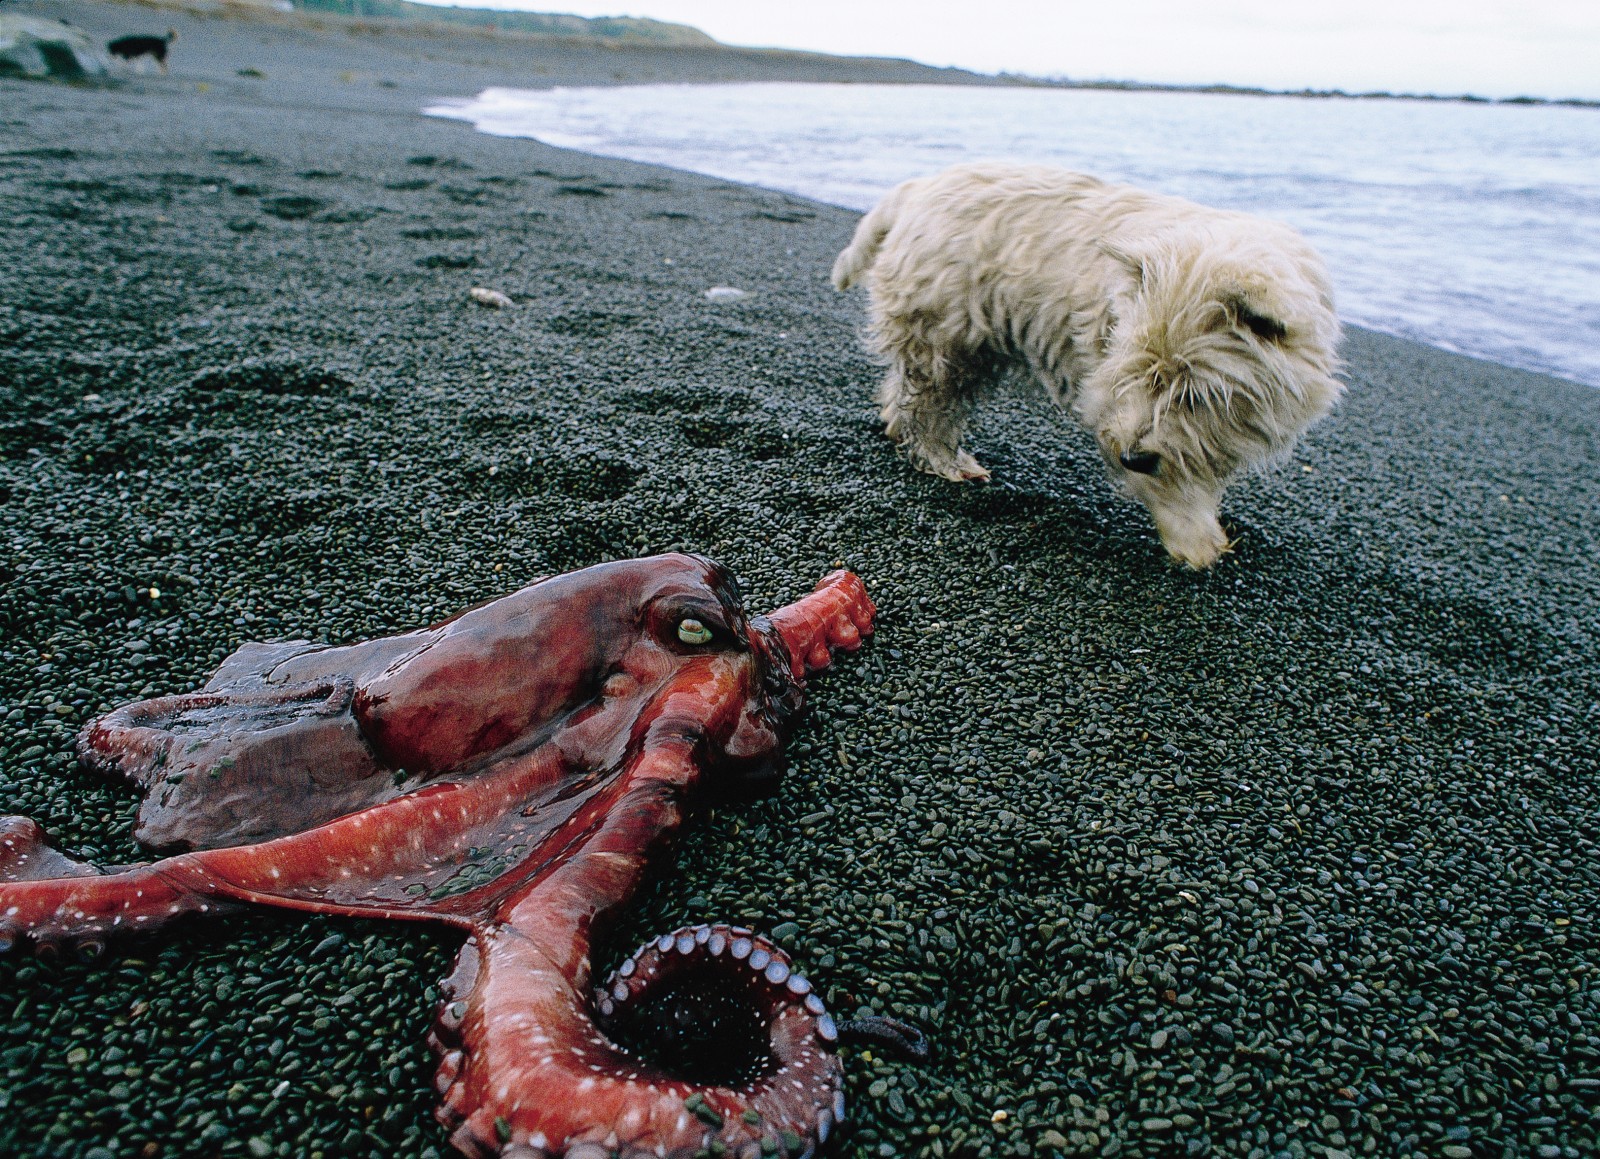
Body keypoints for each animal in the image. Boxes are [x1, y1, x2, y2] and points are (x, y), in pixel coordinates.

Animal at [832, 164, 1344, 569]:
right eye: (1138, 377)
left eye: (1192, 393)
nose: (1133, 457)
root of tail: (918, 187)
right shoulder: (1112, 400)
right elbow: (1174, 484)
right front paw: (1195, 540)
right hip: (947, 330)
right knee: (931, 400)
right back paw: (944, 460)